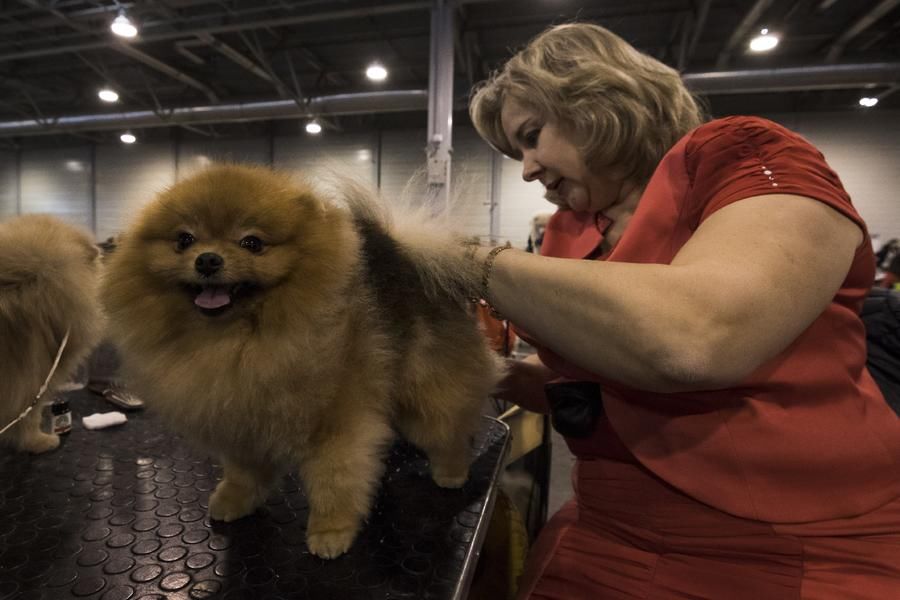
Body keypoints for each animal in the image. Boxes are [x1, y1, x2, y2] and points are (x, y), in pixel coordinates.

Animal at [103, 165, 506, 556]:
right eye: (185, 240)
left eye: (252, 243)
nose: (208, 260)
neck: (236, 341)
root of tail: (410, 257)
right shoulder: (241, 418)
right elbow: (243, 471)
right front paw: (234, 499)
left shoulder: (338, 422)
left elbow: (335, 479)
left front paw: (331, 531)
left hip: (429, 394)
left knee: (447, 429)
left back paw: (451, 472)